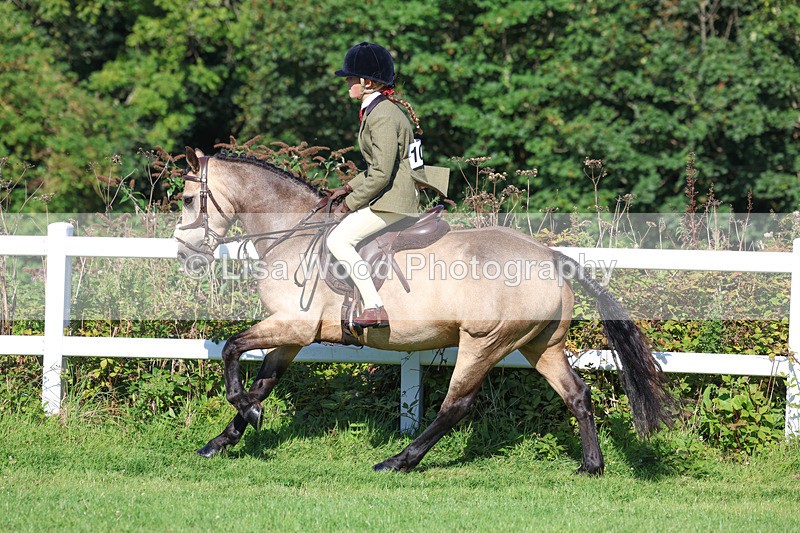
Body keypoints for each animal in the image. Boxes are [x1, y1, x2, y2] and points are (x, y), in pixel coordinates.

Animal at [173, 147, 674, 474]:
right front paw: (222, 440)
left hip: (484, 342)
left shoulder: (292, 325)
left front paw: (245, 412)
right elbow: (262, 382)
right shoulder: (293, 336)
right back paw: (592, 465)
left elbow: (231, 350)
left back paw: (398, 461)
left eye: (186, 200)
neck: (291, 233)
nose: (183, 253)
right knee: (577, 395)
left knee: (456, 406)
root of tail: (549, 256)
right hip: (539, 344)